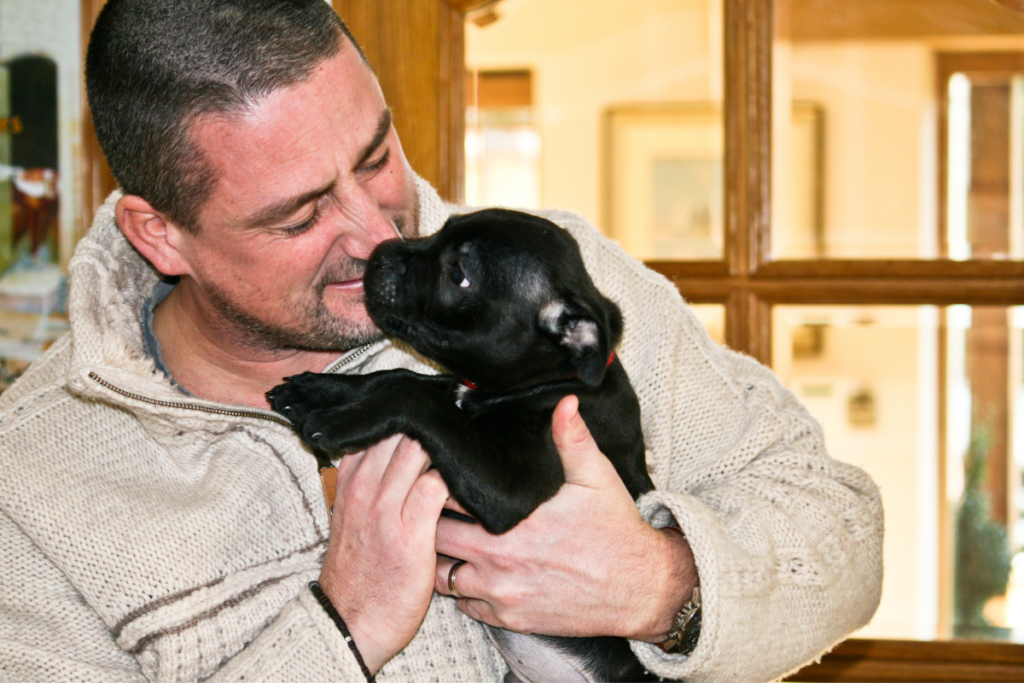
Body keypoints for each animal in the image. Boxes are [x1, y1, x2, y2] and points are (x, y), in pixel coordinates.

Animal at [268, 209, 659, 683]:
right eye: (442, 228)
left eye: (458, 275)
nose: (380, 252)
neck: (542, 383)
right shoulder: (451, 387)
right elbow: (399, 377)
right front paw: (316, 390)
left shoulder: (513, 488)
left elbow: (411, 395)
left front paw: (340, 420)